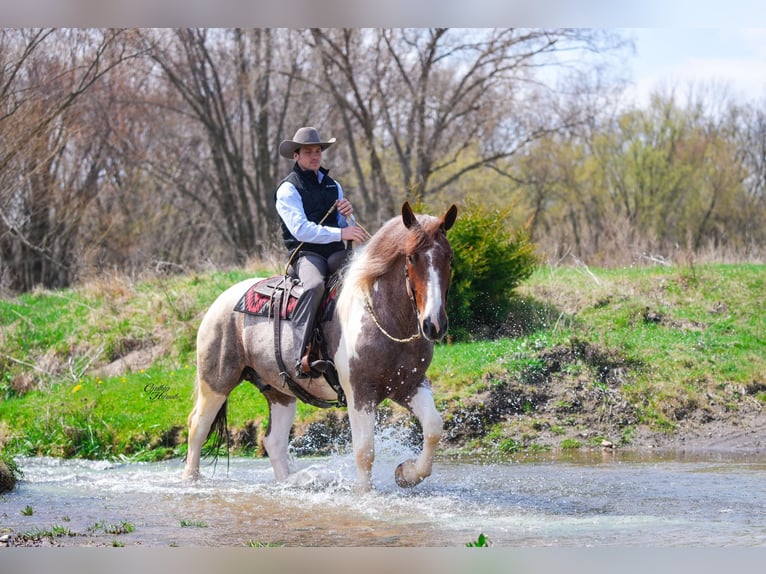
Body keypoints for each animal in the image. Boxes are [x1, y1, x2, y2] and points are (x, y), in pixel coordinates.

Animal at [182, 201, 458, 491]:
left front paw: (406, 473)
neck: (386, 320)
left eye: (449, 258)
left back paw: (291, 482)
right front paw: (364, 493)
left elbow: (434, 428)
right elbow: (365, 450)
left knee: (274, 441)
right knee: (198, 427)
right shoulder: (360, 393)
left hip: (279, 391)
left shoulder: (410, 386)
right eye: (412, 257)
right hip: (216, 382)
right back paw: (190, 481)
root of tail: (222, 299)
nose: (434, 324)